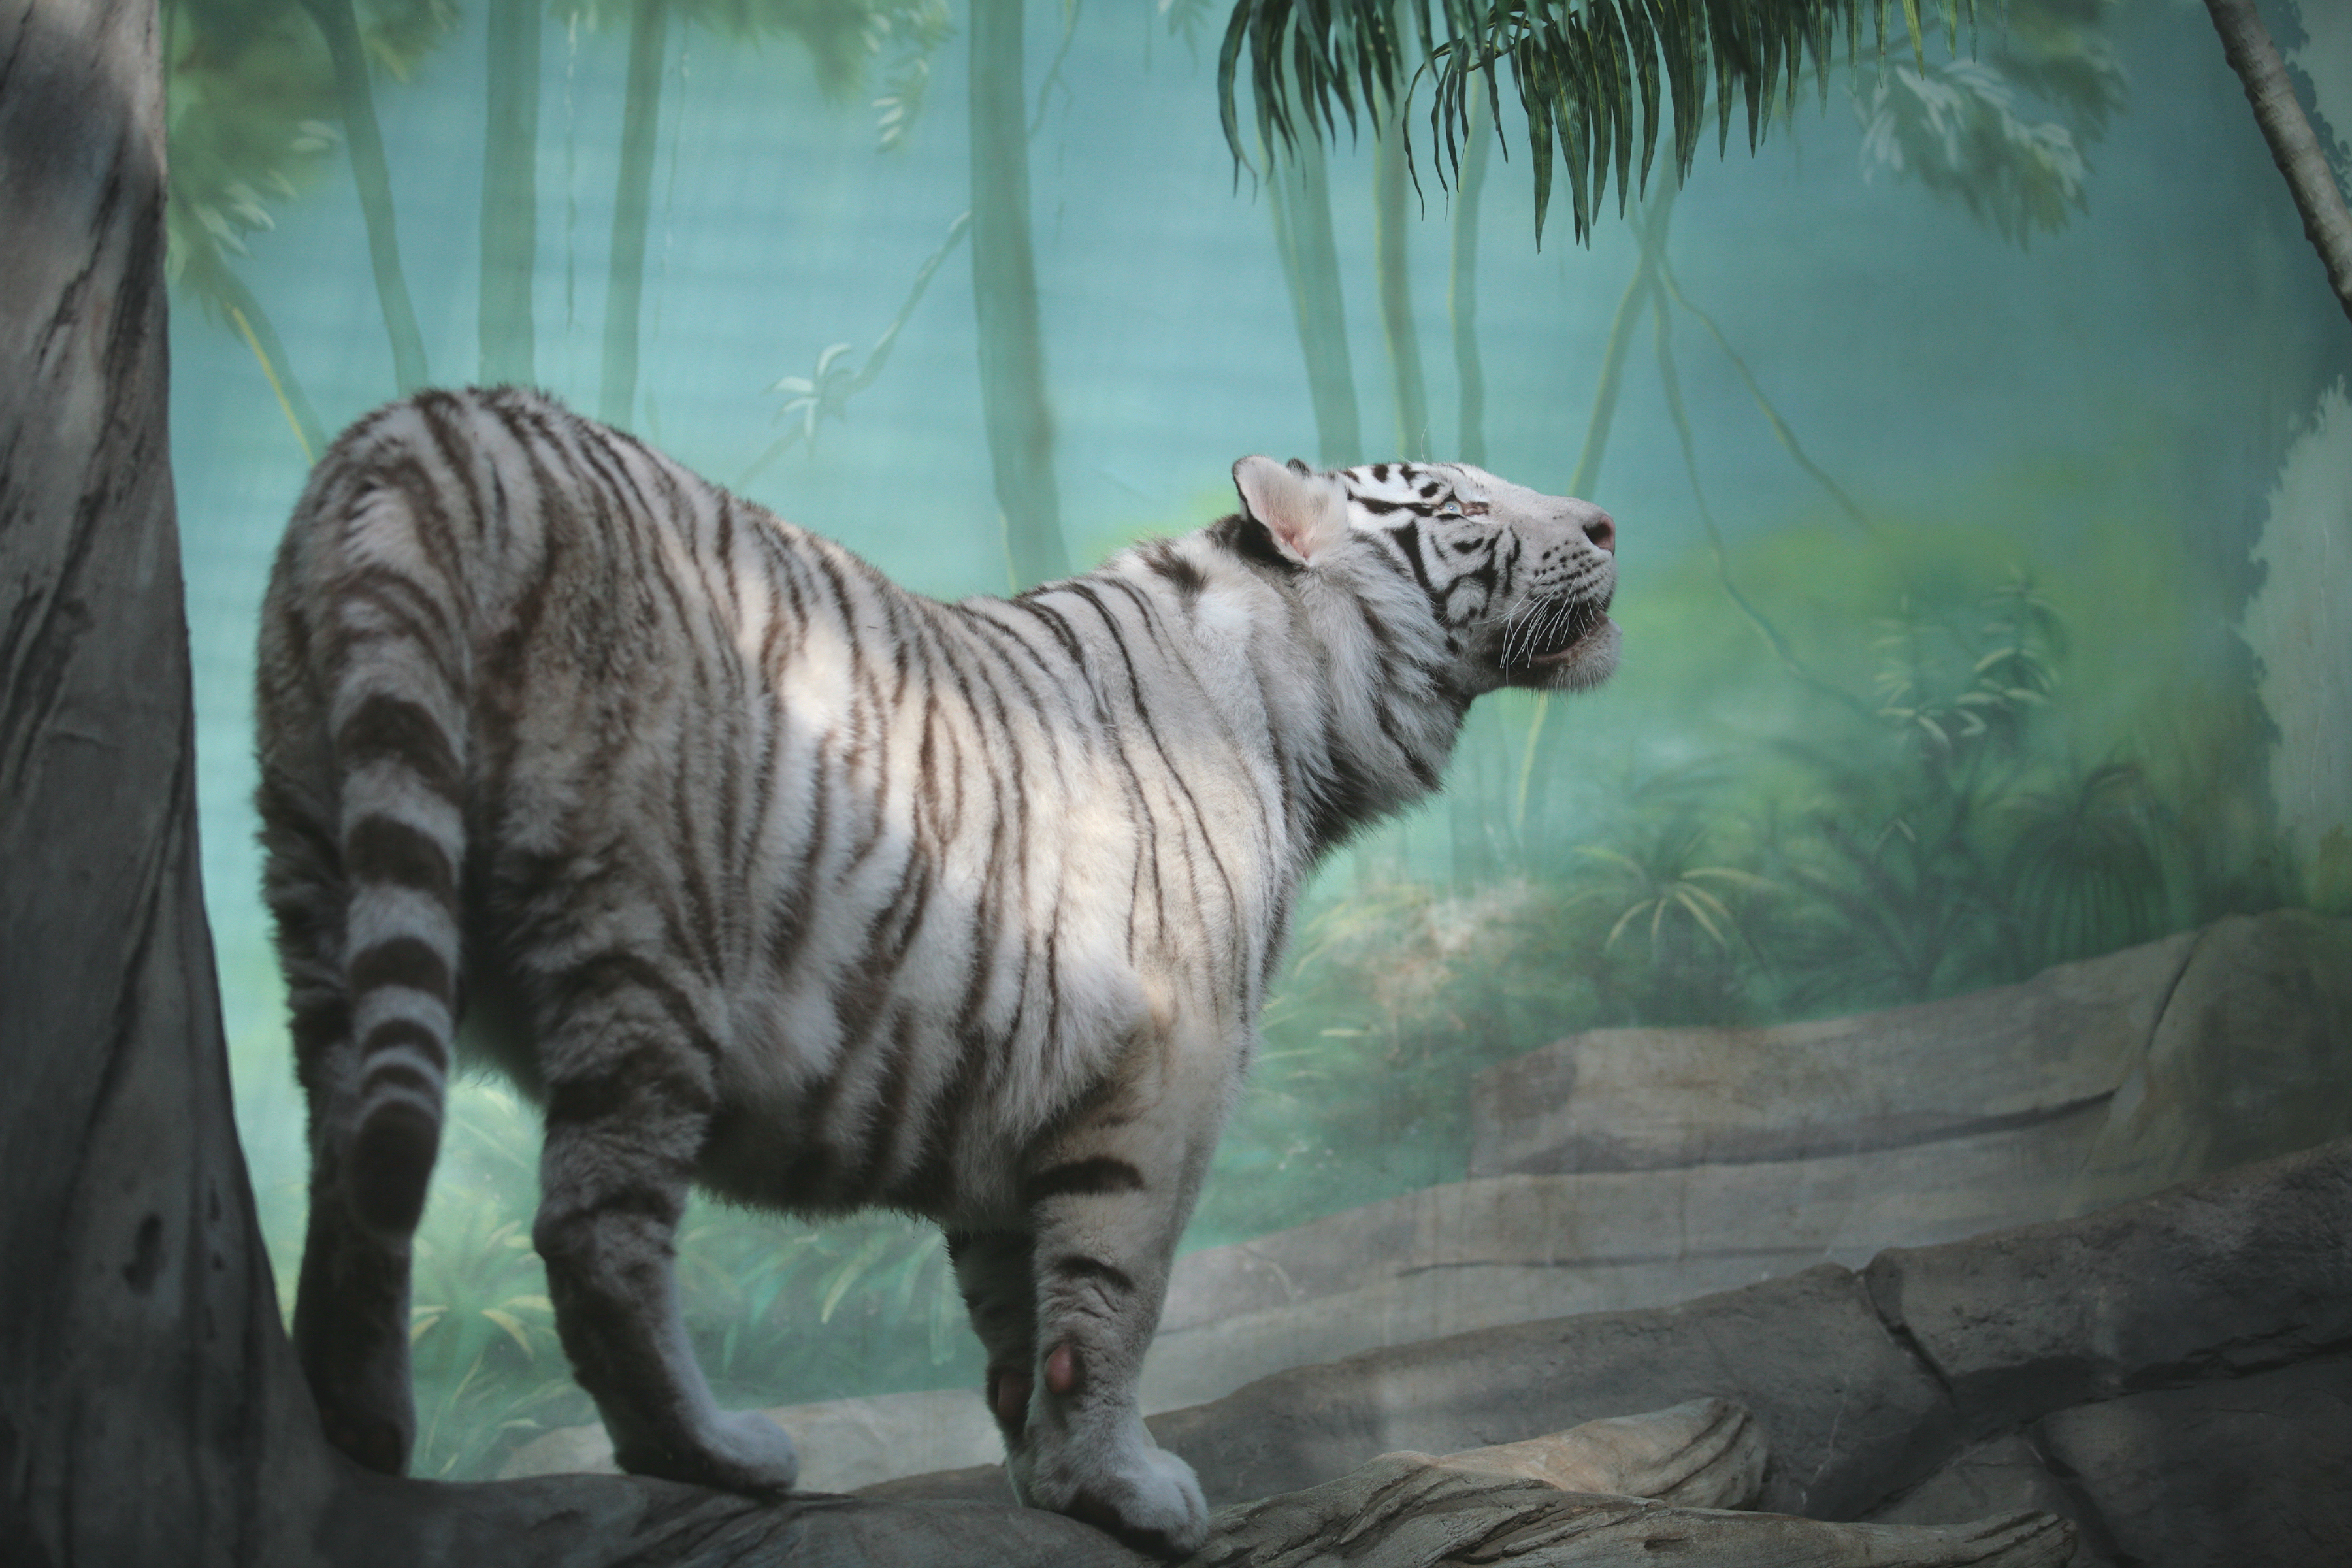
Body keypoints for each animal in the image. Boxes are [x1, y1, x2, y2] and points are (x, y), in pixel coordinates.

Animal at [256, 385, 1618, 1555]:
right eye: (1456, 504)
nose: (1607, 523)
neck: (1301, 716)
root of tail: (431, 426)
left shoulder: (1017, 1080)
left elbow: (1014, 1307)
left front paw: (1048, 1477)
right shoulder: (1170, 1066)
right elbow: (1118, 1291)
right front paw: (1128, 1490)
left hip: (323, 885)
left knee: (352, 1171)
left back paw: (364, 1423)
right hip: (644, 931)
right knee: (594, 1234)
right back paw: (716, 1453)